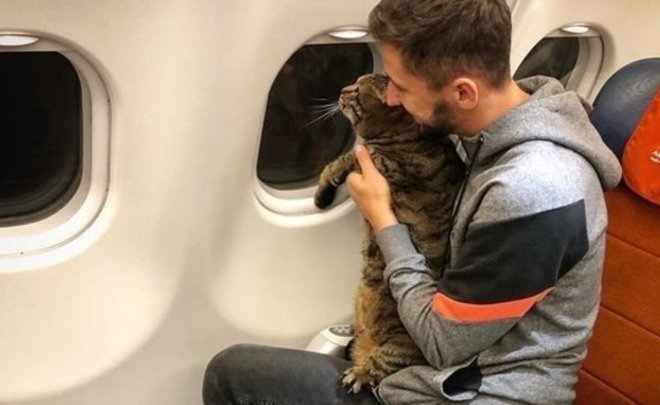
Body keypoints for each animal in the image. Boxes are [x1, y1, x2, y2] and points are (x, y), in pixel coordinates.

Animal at [314, 73, 465, 393]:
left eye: (356, 90)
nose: (342, 90)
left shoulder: (369, 162)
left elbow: (337, 163)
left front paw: (321, 195)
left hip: (396, 347)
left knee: (379, 369)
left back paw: (357, 375)